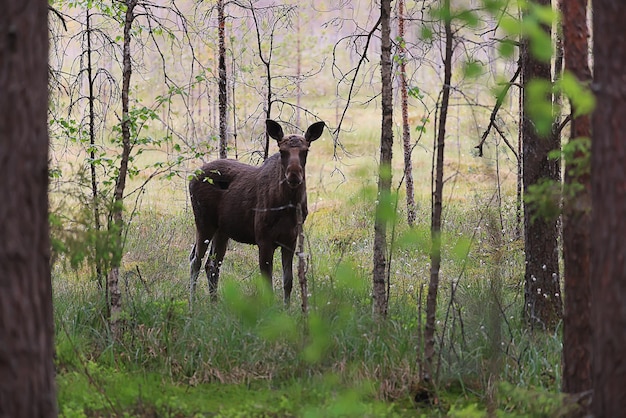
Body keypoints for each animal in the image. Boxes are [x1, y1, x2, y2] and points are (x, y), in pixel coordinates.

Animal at [188, 119, 324, 306]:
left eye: (305, 150)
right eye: (282, 151)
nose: (294, 175)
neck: (288, 206)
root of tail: (191, 178)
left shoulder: (290, 239)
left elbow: (288, 281)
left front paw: (286, 309)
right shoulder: (263, 239)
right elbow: (267, 285)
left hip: (222, 230)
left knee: (212, 265)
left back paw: (214, 304)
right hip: (204, 222)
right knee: (196, 261)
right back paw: (192, 304)